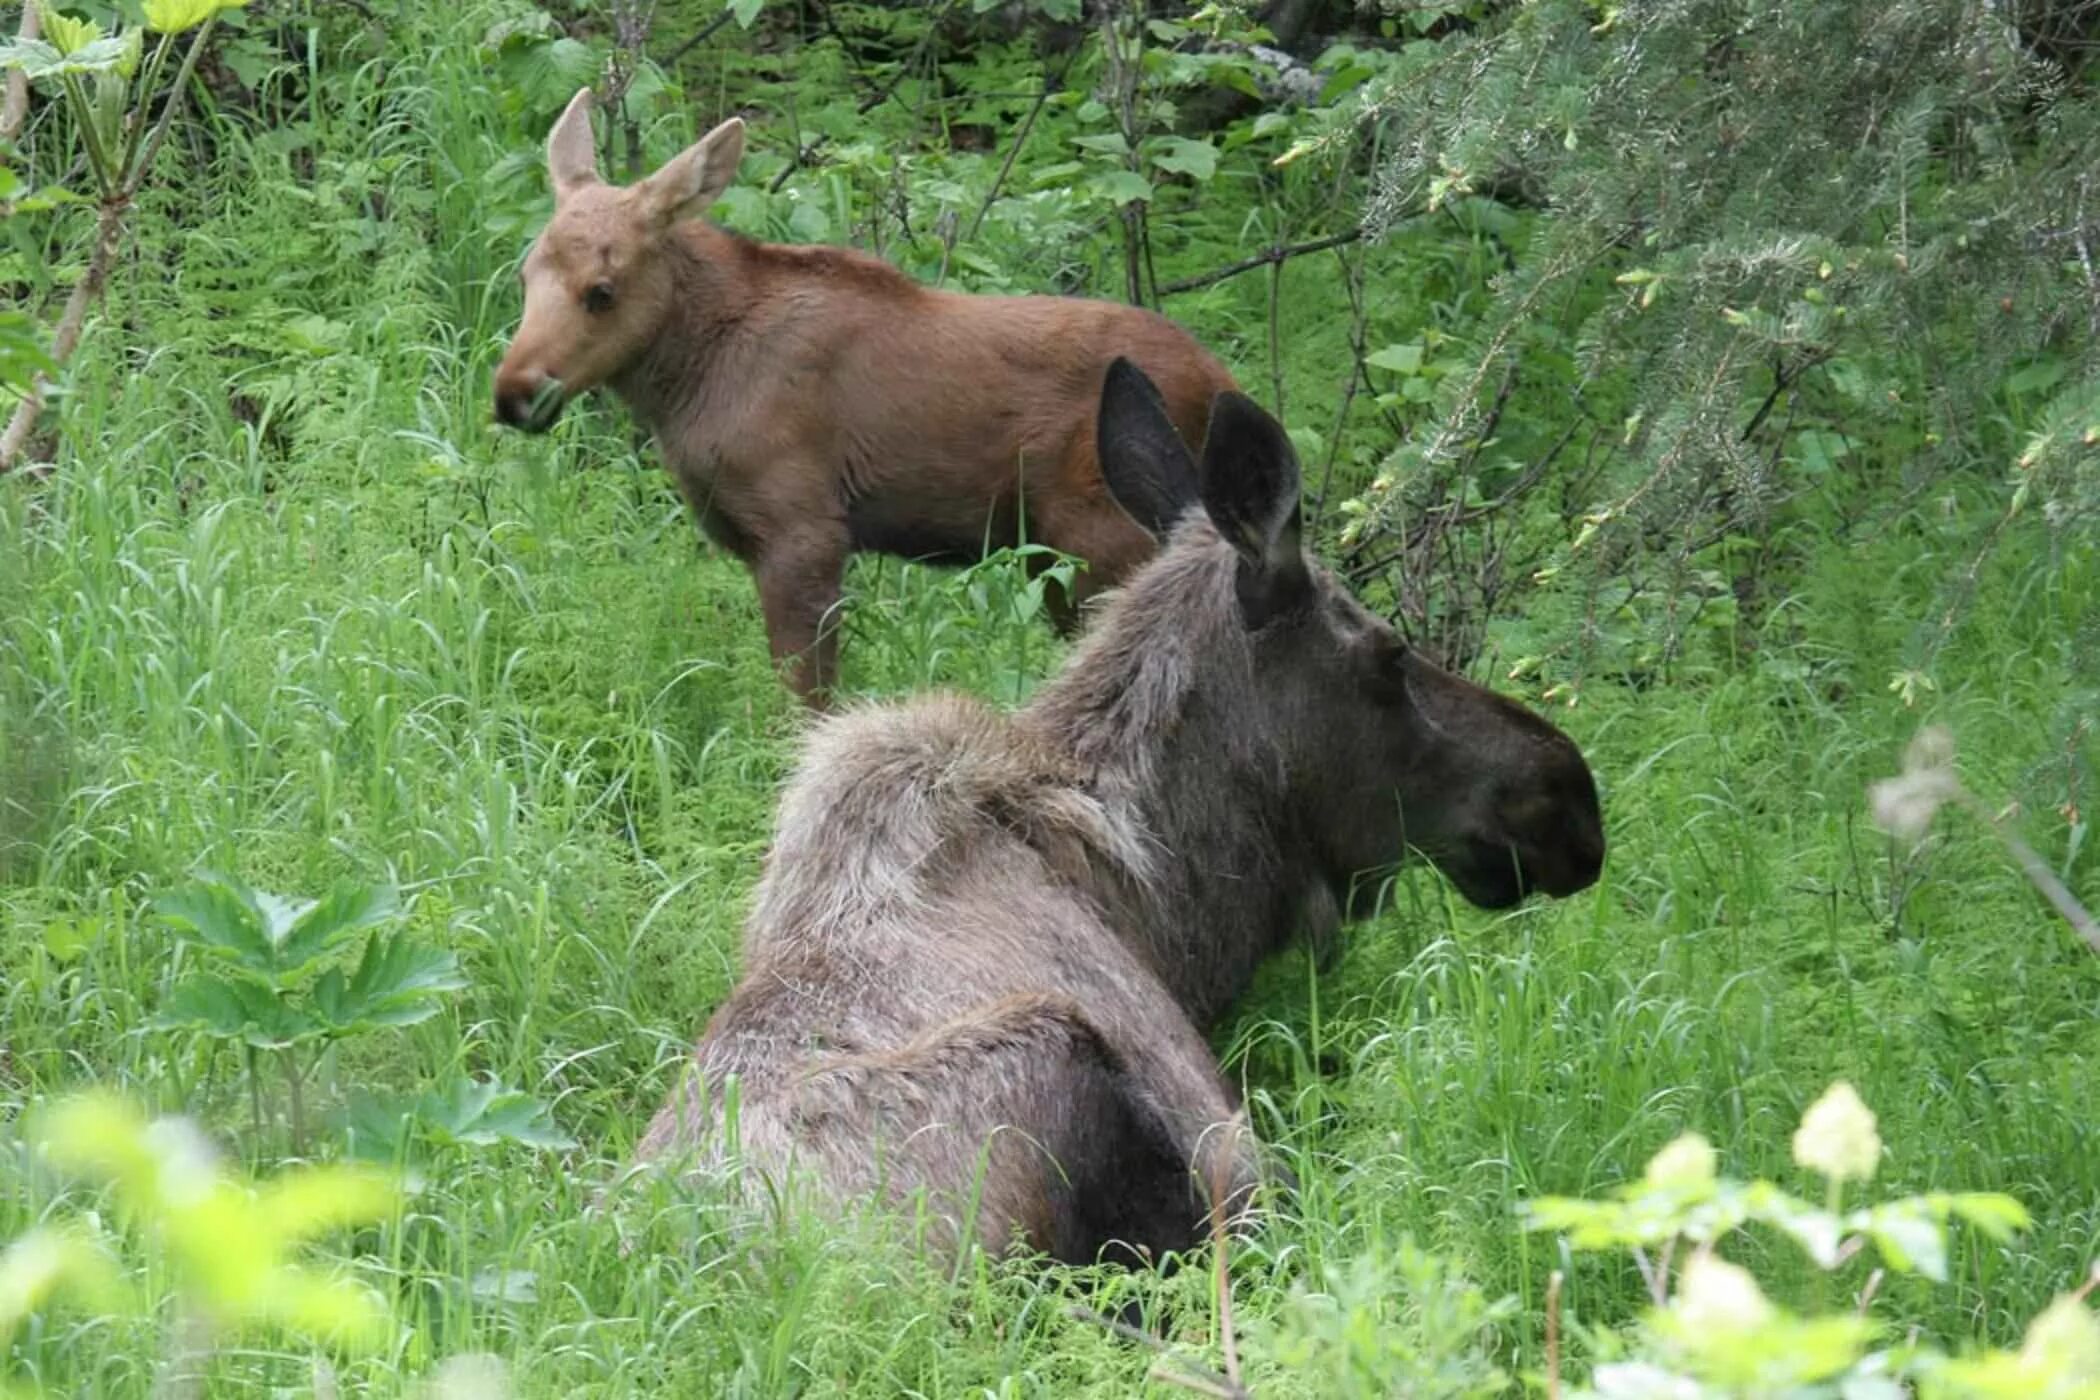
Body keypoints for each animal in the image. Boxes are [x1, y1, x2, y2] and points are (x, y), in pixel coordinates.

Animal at [493, 89, 1234, 705]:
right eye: (526, 275)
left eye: (601, 291)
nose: (514, 394)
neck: (686, 385)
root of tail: (1221, 383)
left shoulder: (805, 531)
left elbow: (806, 701)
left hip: (1099, 536)